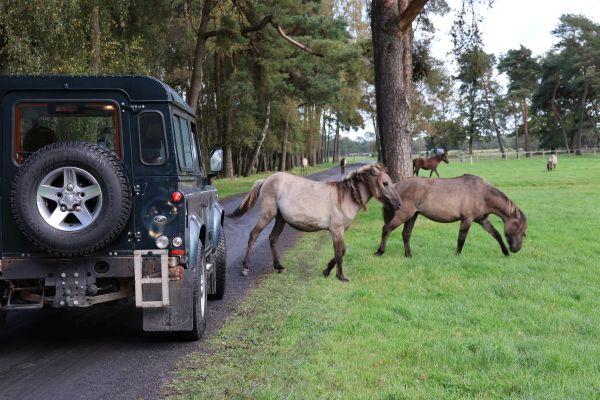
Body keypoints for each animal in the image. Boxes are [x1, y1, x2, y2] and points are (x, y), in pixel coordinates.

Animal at [227, 162, 400, 282]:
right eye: (385, 183)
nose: (398, 204)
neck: (346, 197)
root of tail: (265, 180)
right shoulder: (336, 230)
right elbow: (339, 253)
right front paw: (341, 277)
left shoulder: (341, 230)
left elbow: (341, 251)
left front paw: (326, 272)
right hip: (267, 215)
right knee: (253, 235)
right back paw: (245, 268)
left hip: (280, 219)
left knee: (273, 238)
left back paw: (279, 267)